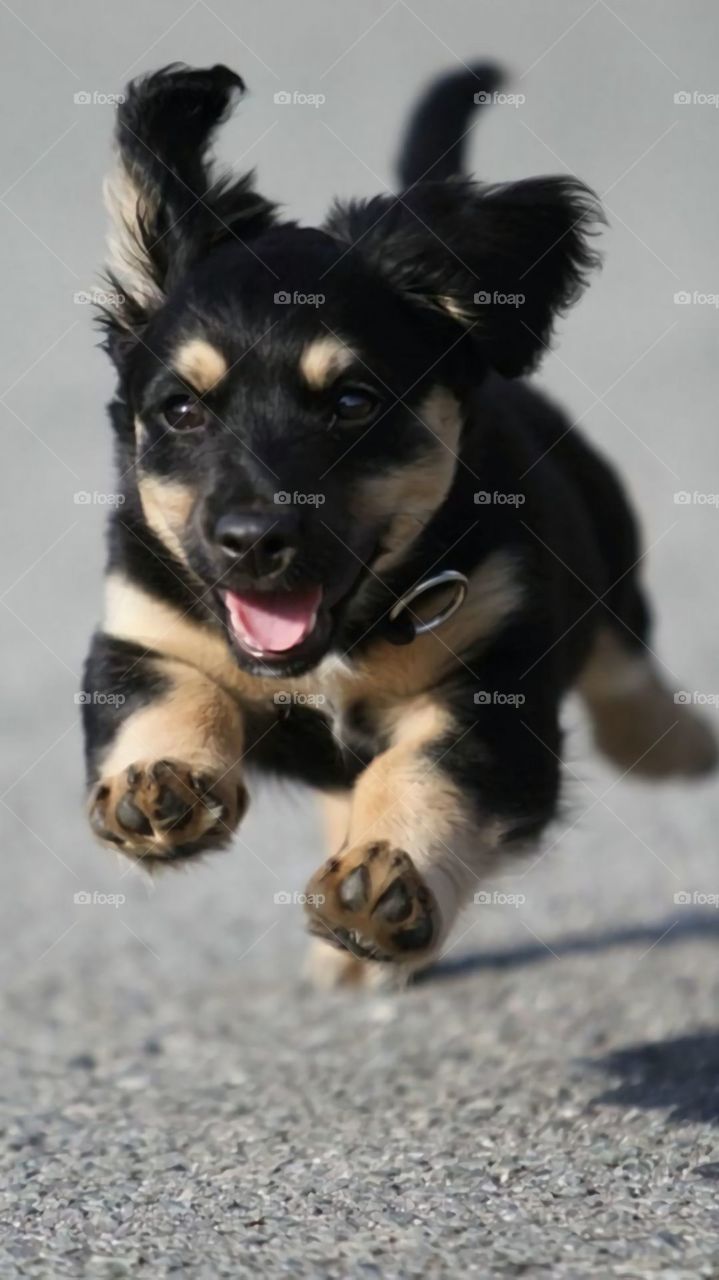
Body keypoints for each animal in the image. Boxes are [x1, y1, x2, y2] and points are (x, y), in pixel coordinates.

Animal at [82, 64, 711, 988]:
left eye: (352, 403)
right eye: (181, 410)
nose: (252, 542)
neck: (343, 640)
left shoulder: (495, 692)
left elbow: (425, 775)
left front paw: (384, 885)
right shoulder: (139, 631)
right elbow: (169, 698)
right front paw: (161, 786)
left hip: (606, 541)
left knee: (622, 660)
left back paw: (674, 742)